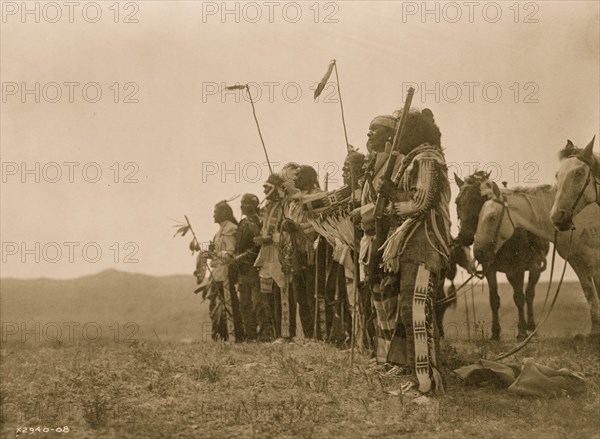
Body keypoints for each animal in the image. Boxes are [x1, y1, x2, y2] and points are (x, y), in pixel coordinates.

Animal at [454, 171, 548, 340]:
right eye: (457, 201)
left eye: (477, 200)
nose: (464, 236)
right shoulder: (489, 269)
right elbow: (494, 299)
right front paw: (495, 332)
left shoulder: (516, 269)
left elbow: (519, 298)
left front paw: (521, 331)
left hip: (534, 268)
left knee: (529, 294)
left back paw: (531, 327)